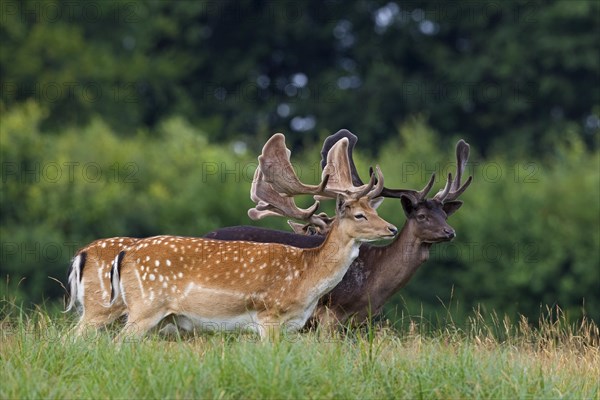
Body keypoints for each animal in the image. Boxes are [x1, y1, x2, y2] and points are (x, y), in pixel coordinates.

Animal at [109, 134, 396, 340]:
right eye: (359, 215)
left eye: (374, 210)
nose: (391, 228)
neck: (306, 279)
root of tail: (125, 254)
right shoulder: (269, 316)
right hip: (145, 307)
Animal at [206, 130, 474, 326]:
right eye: (421, 215)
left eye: (444, 214)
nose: (449, 232)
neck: (373, 285)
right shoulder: (329, 313)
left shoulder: (362, 321)